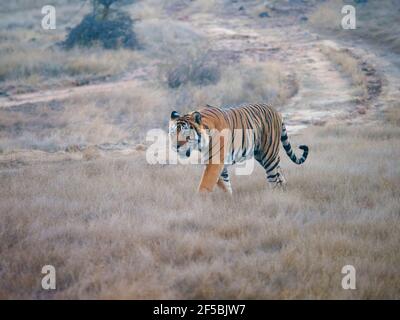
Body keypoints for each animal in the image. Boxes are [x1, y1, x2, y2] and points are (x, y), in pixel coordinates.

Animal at [167, 104, 308, 194]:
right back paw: (284, 190)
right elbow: (225, 185)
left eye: (187, 136)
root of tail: (276, 110)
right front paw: (229, 200)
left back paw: (275, 196)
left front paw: (199, 202)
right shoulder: (218, 164)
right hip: (260, 155)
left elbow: (205, 184)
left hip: (269, 154)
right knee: (280, 173)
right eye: (173, 134)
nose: (175, 146)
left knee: (273, 177)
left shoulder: (215, 162)